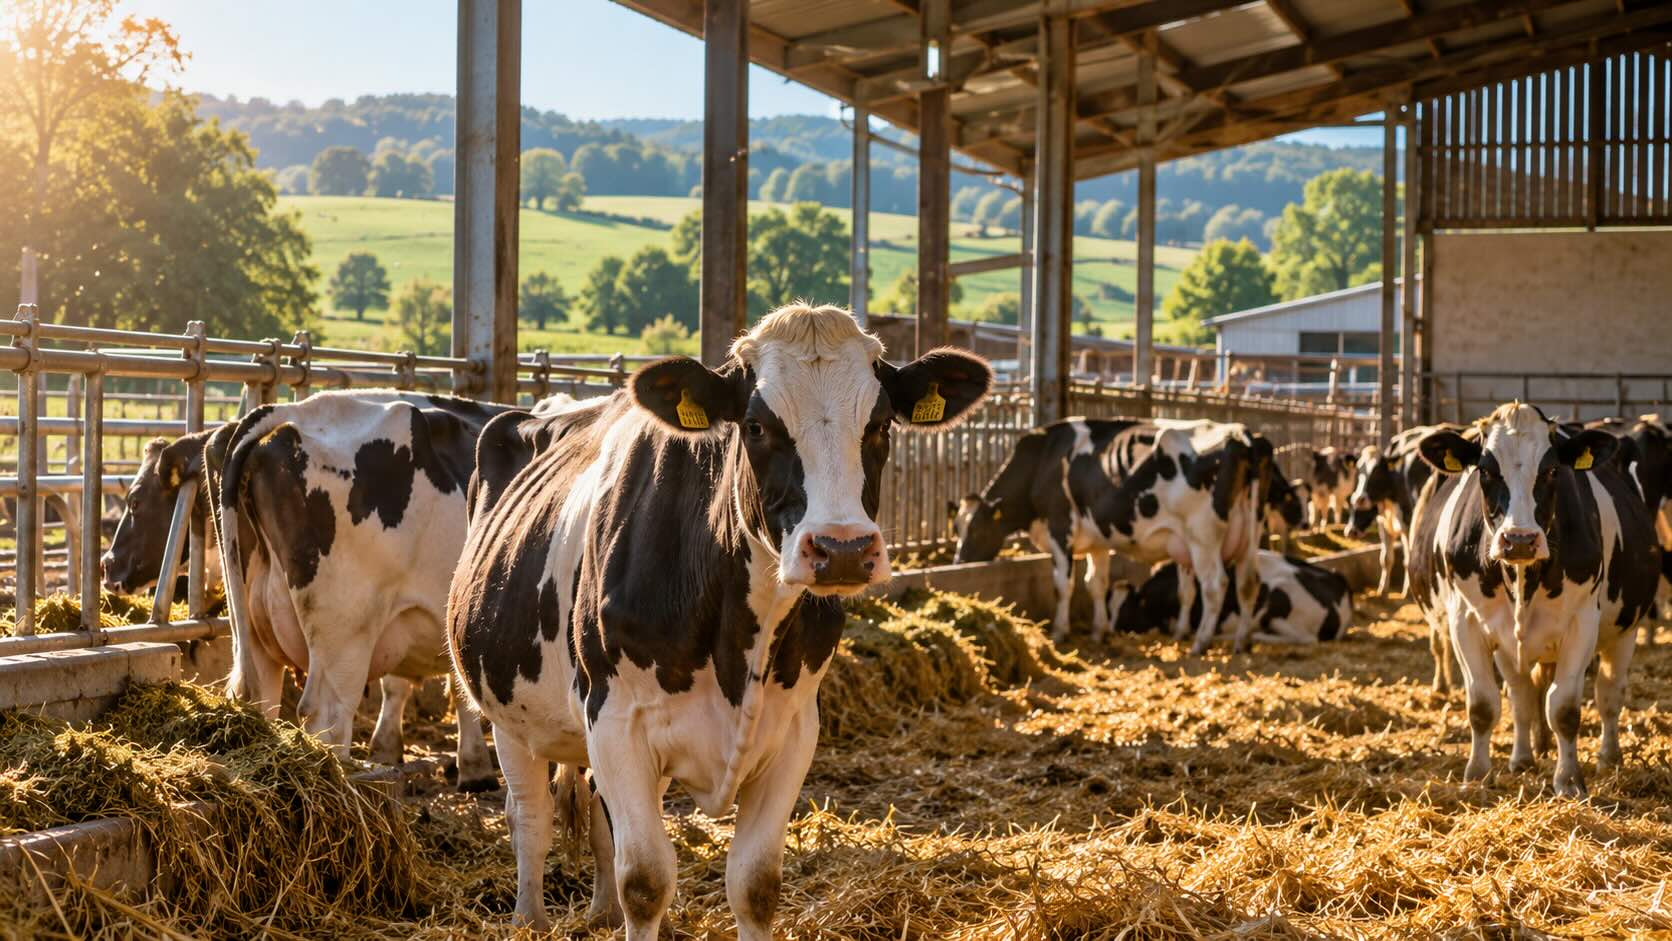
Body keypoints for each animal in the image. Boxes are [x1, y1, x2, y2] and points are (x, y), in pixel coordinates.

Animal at [447, 305, 990, 936]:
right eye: (754, 425)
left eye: (880, 425)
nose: (843, 549)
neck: (737, 642)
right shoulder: (616, 720)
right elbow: (645, 882)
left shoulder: (793, 729)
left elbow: (755, 884)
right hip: (508, 713)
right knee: (529, 816)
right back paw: (529, 918)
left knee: (600, 822)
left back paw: (600, 911)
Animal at [953, 418, 1265, 653]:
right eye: (956, 527)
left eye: (977, 529)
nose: (959, 562)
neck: (1043, 460)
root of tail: (1241, 434)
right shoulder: (1097, 541)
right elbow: (1096, 584)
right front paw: (1098, 631)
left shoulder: (1060, 527)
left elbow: (1063, 585)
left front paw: (1059, 631)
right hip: (1250, 535)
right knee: (1247, 584)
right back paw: (1240, 641)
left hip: (1203, 537)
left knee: (1215, 585)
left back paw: (1201, 642)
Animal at [1110, 549, 1353, 644]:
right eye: (1107, 603)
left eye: (1125, 610)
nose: (1110, 629)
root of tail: (1340, 582)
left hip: (1277, 603)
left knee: (1305, 639)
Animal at [1406, 403, 1661, 797]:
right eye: (1484, 470)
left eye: (1553, 469)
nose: (1519, 540)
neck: (1522, 578)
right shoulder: (1466, 620)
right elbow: (1483, 704)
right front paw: (1477, 775)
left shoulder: (1581, 622)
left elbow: (1565, 708)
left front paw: (1569, 781)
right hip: (1508, 644)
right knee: (1522, 694)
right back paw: (1525, 756)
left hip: (1624, 629)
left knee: (1609, 694)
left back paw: (1608, 757)